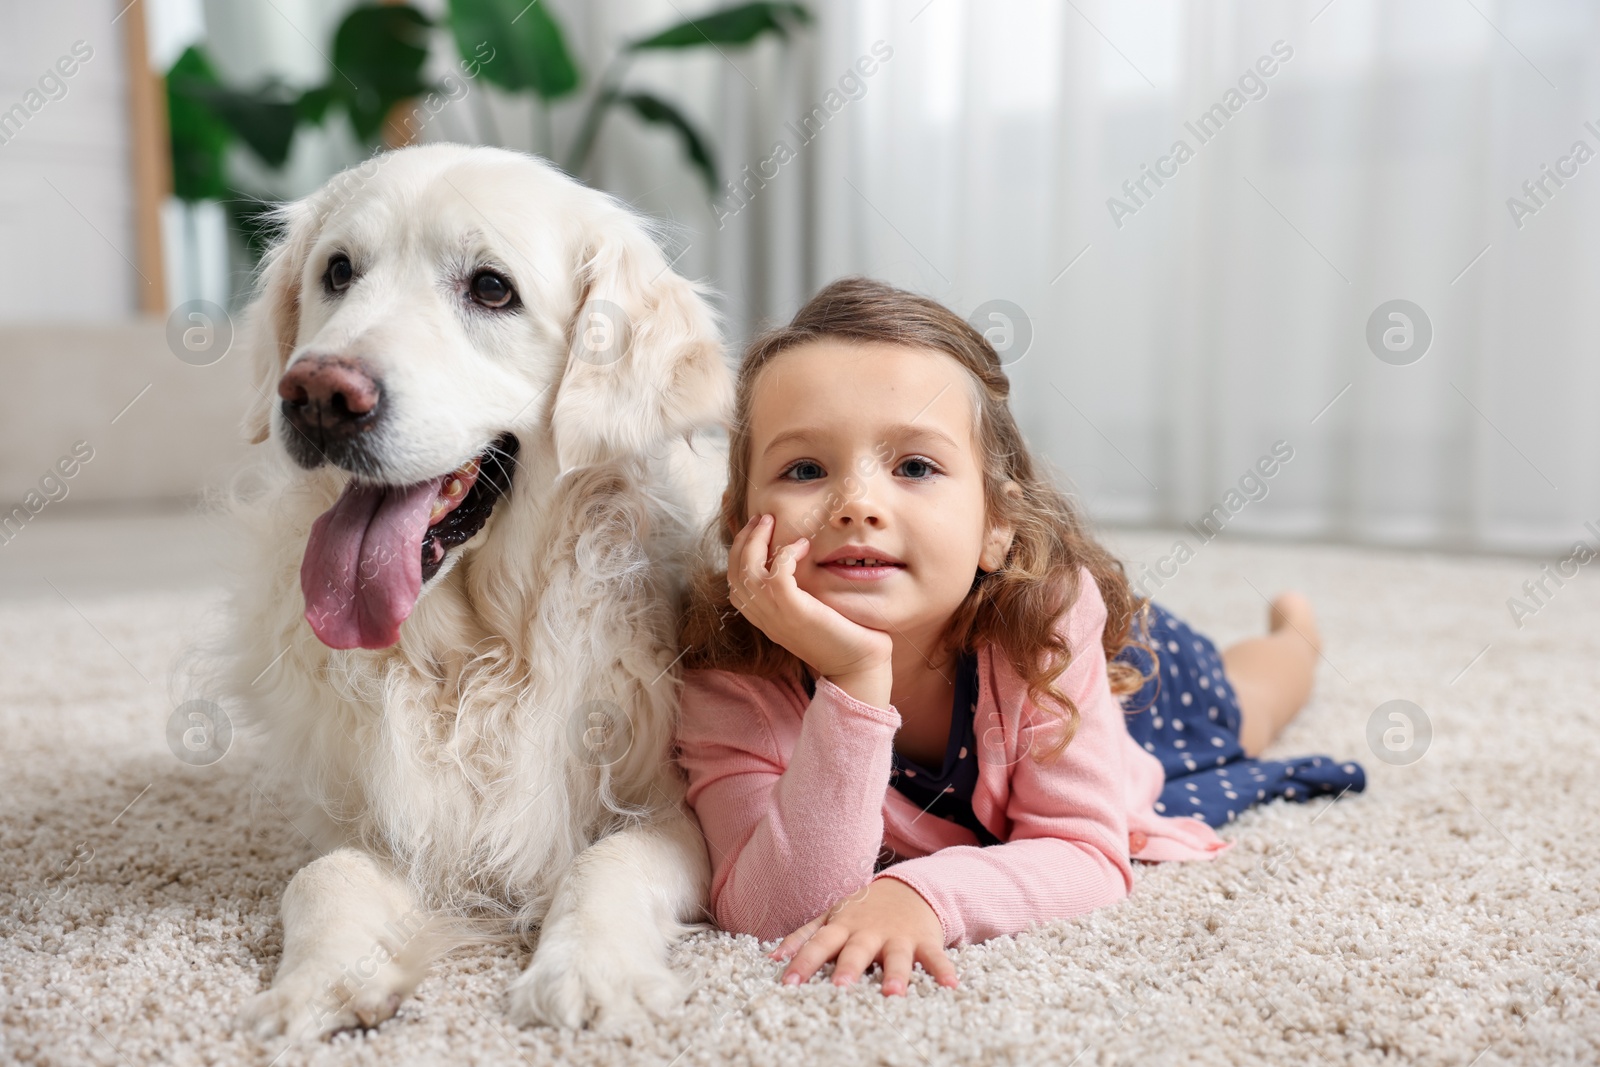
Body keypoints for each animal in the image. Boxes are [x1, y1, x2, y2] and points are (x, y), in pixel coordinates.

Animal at [209, 146, 732, 1036]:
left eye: (492, 288)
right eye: (338, 271)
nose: (317, 395)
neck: (479, 654)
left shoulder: (682, 808)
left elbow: (609, 858)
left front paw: (589, 970)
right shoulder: (378, 812)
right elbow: (323, 875)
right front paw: (319, 981)